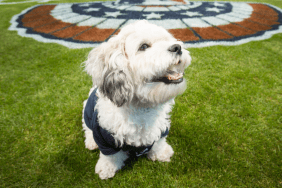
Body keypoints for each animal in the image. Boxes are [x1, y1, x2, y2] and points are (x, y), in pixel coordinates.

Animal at [81, 20, 192, 179]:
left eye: (167, 40)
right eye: (143, 46)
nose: (177, 47)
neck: (142, 108)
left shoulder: (161, 127)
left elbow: (159, 141)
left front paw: (162, 153)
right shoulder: (104, 136)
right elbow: (110, 156)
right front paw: (107, 168)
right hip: (86, 113)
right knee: (87, 130)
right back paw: (91, 143)